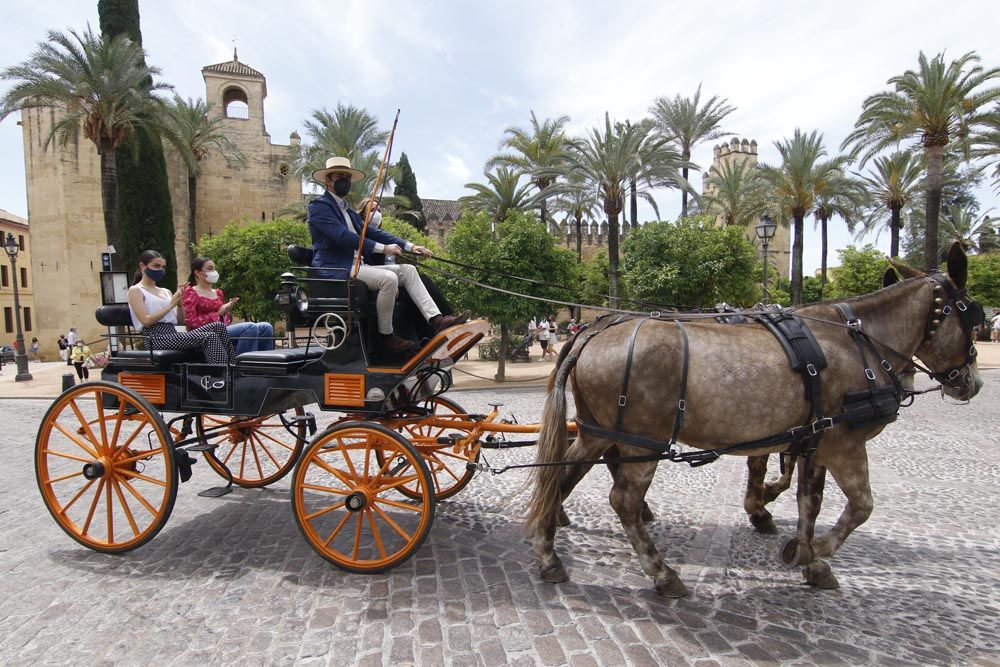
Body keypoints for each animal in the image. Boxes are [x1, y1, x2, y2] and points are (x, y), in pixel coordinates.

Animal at [528, 243, 980, 596]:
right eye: (972, 318)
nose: (971, 383)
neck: (857, 343)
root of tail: (592, 332)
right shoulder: (844, 444)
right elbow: (861, 506)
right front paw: (810, 550)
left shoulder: (814, 441)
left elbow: (809, 502)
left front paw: (806, 555)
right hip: (642, 440)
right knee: (622, 501)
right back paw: (662, 573)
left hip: (598, 431)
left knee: (561, 475)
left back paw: (549, 553)